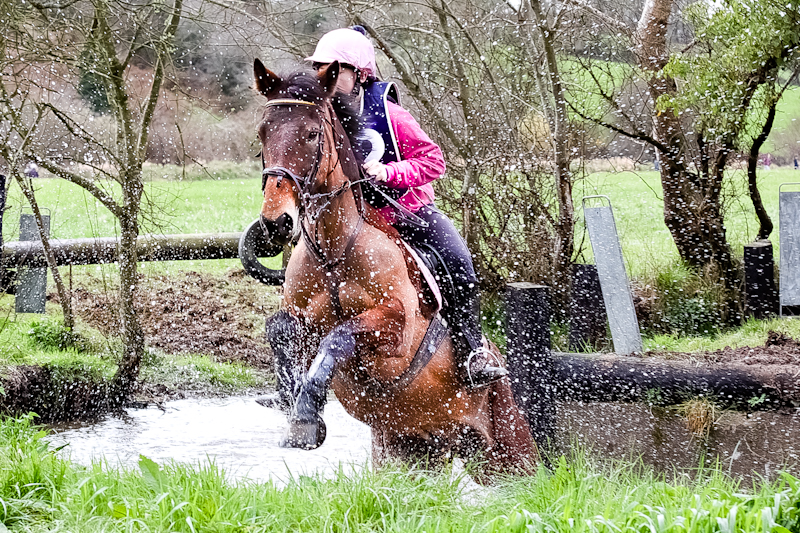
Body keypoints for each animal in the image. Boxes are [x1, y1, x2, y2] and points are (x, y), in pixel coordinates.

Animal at [250, 59, 536, 478]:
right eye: (263, 132)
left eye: (312, 133)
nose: (275, 223)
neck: (334, 251)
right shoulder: (298, 314)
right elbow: (279, 328)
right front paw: (291, 394)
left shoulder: (396, 328)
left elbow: (338, 336)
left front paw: (305, 416)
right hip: (408, 447)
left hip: (509, 450)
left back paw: (481, 365)